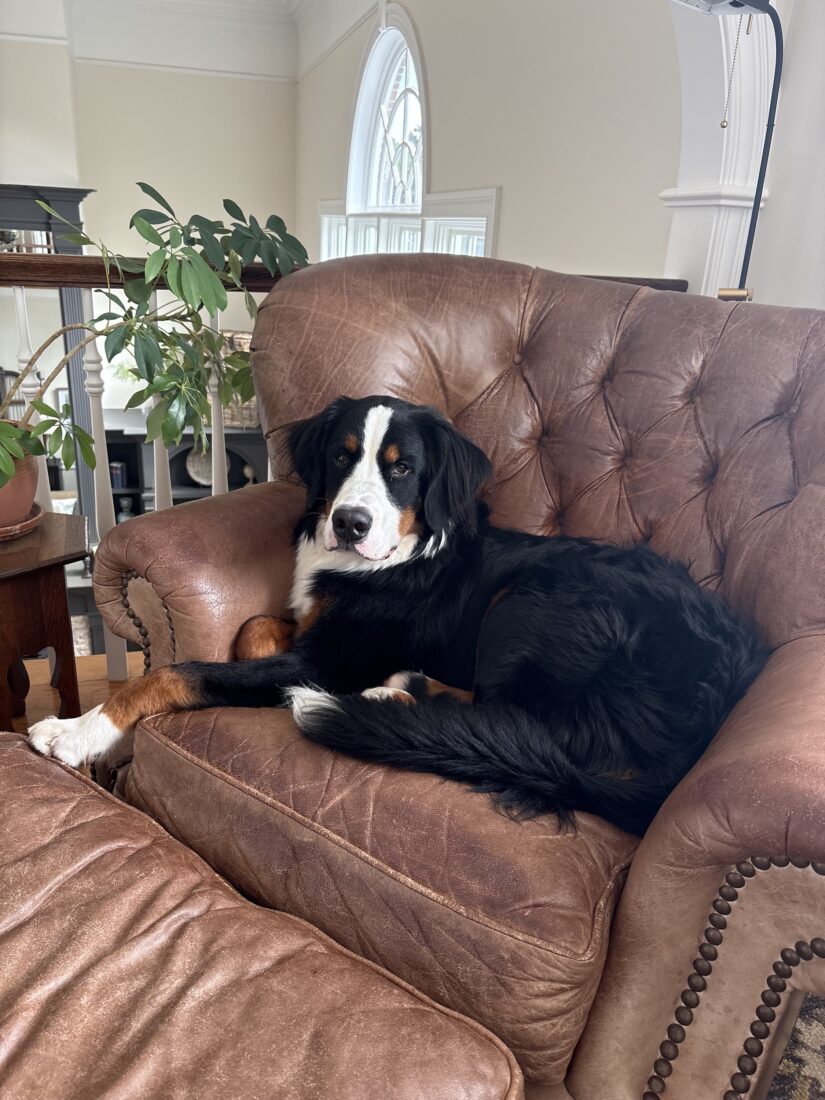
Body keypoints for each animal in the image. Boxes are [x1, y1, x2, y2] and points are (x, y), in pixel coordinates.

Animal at [29, 395, 767, 835]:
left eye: (402, 467)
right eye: (339, 455)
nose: (349, 523)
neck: (390, 558)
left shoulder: (328, 659)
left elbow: (172, 673)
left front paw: (78, 731)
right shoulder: (317, 636)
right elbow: (252, 629)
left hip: (533, 600)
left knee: (516, 726)